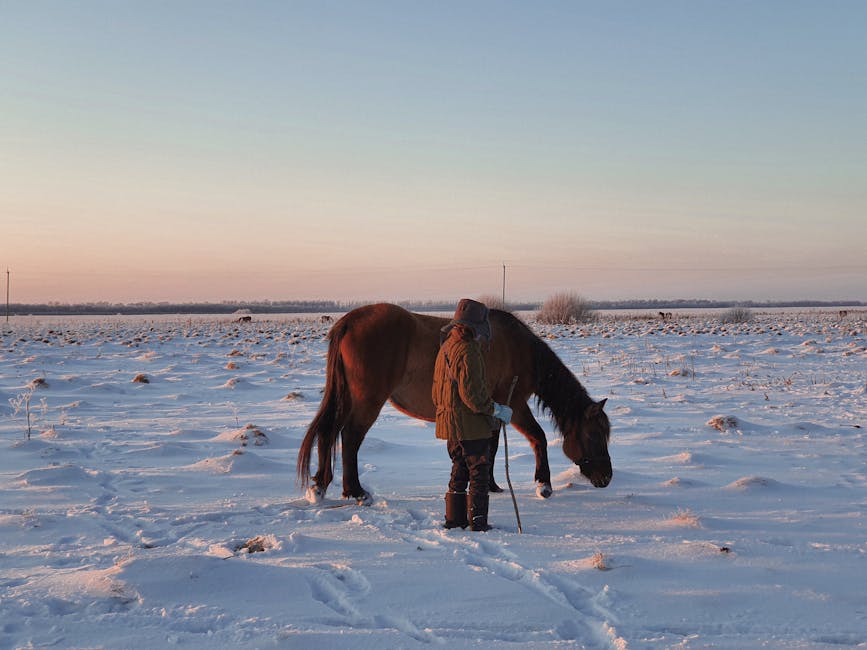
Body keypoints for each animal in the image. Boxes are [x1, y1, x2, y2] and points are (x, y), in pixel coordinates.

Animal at [296, 302, 612, 504]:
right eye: (594, 435)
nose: (606, 477)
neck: (520, 350)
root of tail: (350, 321)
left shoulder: (490, 411)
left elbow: (491, 448)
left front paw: (492, 485)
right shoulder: (515, 405)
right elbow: (539, 438)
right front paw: (543, 485)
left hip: (348, 397)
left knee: (328, 433)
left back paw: (320, 487)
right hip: (367, 400)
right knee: (350, 437)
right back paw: (355, 491)